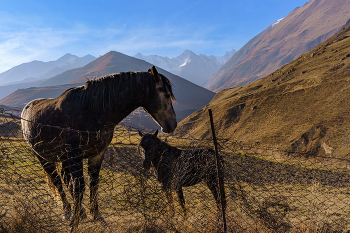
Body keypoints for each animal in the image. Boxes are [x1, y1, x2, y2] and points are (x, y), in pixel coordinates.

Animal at [20, 66, 176, 231]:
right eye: (166, 94)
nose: (172, 125)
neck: (92, 110)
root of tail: (27, 108)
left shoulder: (97, 153)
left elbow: (93, 183)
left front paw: (97, 216)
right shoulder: (75, 153)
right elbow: (79, 186)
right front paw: (74, 224)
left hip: (64, 158)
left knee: (66, 178)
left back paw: (80, 212)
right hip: (44, 158)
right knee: (57, 181)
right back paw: (68, 213)